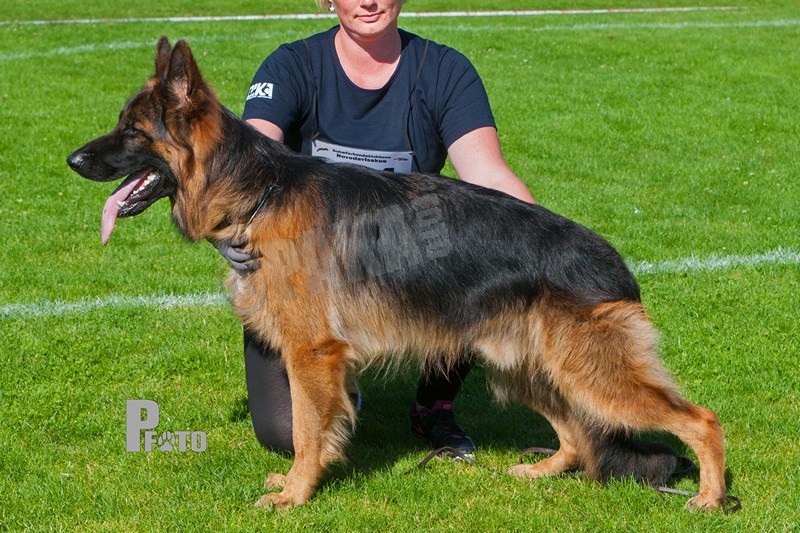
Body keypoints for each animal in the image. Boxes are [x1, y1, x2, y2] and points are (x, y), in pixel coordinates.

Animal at [67, 36, 727, 511]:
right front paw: (301, 484)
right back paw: (539, 469)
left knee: (701, 419)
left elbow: (305, 431)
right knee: (573, 435)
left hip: (589, 373)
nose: (70, 159)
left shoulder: (311, 355)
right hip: (528, 369)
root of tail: (614, 264)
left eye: (132, 131)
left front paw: (296, 494)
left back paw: (709, 498)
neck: (257, 194)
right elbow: (307, 429)